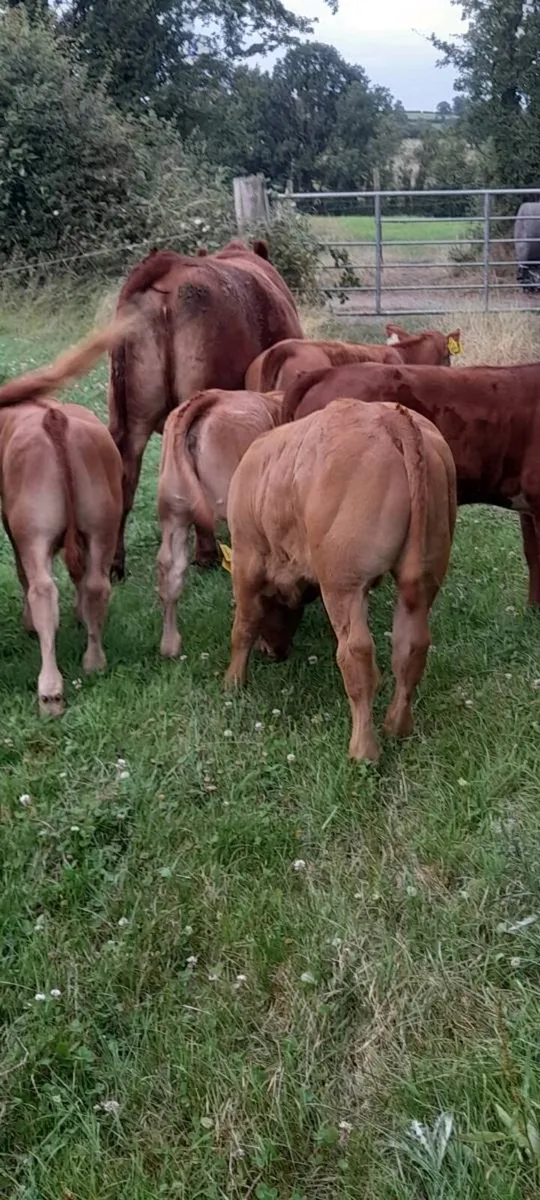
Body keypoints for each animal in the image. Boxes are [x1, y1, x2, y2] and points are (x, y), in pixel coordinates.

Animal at [0, 320, 131, 715]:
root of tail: (52, 417)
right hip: (102, 525)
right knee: (95, 584)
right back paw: (94, 660)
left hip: (34, 533)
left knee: (42, 590)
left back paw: (50, 690)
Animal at [224, 399, 456, 762]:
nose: (274, 651)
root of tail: (392, 417)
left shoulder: (247, 557)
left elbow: (243, 626)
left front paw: (233, 683)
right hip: (421, 577)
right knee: (411, 646)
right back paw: (397, 726)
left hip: (342, 583)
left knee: (356, 654)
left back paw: (364, 750)